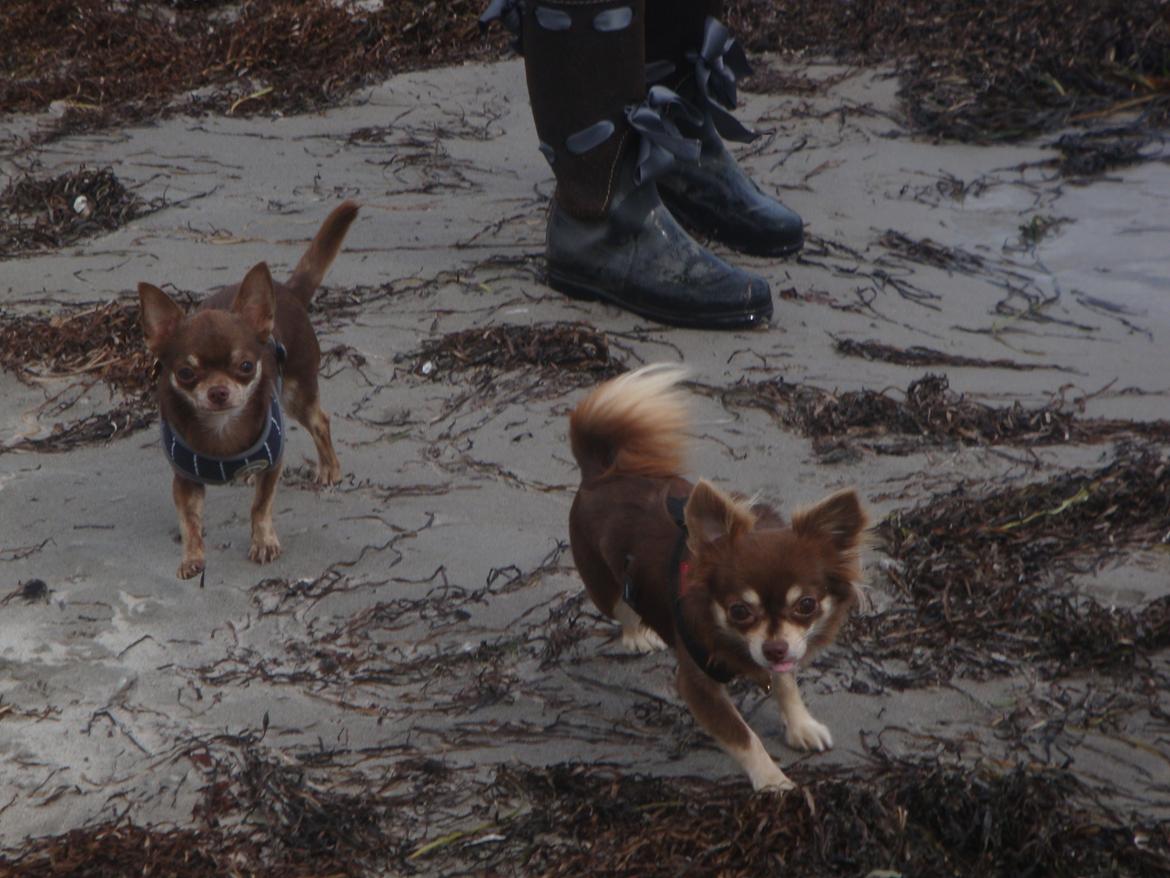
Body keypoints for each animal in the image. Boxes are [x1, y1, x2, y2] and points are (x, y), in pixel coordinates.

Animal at [138, 202, 355, 580]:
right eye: (185, 373)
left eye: (245, 366)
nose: (218, 391)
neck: (222, 429)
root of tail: (287, 291)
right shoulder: (184, 481)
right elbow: (189, 522)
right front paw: (192, 557)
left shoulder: (273, 463)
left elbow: (260, 507)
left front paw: (263, 542)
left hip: (297, 393)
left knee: (320, 421)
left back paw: (329, 468)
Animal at [566, 365, 870, 791]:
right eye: (739, 610)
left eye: (806, 605)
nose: (774, 649)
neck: (734, 641)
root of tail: (601, 473)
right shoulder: (698, 686)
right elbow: (743, 737)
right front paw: (773, 782)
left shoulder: (786, 652)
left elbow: (786, 683)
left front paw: (800, 724)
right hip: (601, 584)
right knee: (621, 605)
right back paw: (636, 634)